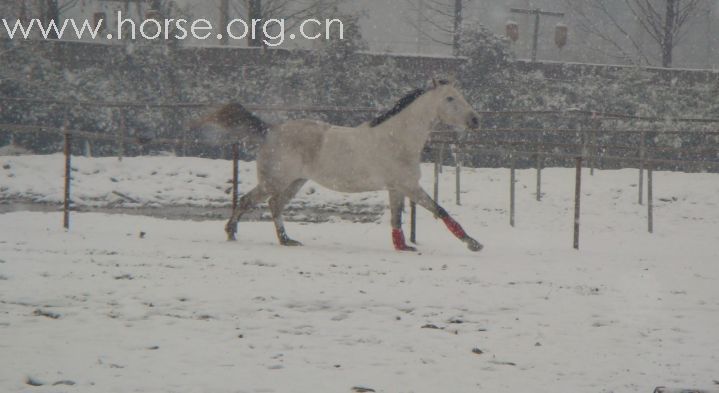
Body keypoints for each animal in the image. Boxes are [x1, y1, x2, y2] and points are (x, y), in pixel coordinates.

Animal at [202, 79, 484, 251]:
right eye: (450, 98)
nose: (475, 120)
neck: (397, 138)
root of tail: (270, 130)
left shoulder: (396, 188)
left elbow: (397, 220)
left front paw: (403, 246)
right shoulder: (409, 186)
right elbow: (441, 211)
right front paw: (473, 243)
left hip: (294, 182)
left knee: (274, 205)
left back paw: (287, 240)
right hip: (275, 180)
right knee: (248, 201)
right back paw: (231, 232)